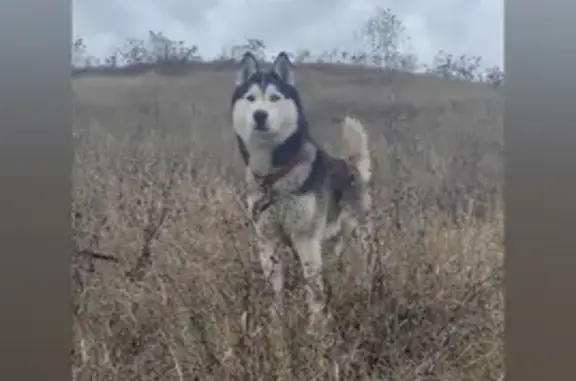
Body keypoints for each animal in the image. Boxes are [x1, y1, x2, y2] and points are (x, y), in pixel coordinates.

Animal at [231, 51, 374, 324]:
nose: (260, 115)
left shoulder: (305, 240)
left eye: (274, 97)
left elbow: (314, 293)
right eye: (251, 98)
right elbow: (275, 290)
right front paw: (277, 323)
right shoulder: (267, 240)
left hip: (356, 237)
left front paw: (316, 328)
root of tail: (351, 167)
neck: (274, 176)